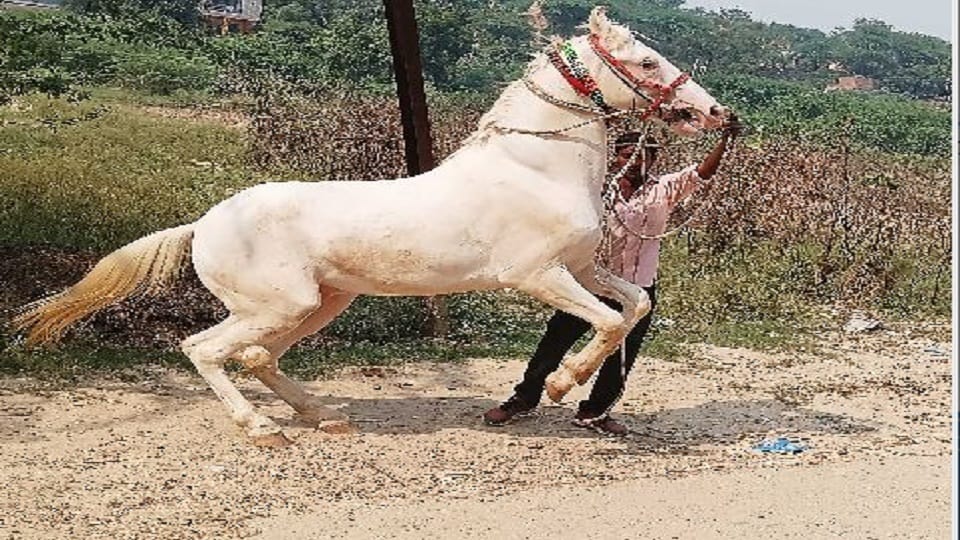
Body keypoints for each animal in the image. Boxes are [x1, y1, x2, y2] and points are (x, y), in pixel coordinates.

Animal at [15, 7, 728, 446]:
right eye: (646, 63)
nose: (714, 112)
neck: (536, 167)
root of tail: (204, 223)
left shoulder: (581, 267)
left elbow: (633, 306)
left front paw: (570, 385)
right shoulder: (536, 276)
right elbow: (606, 321)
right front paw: (560, 384)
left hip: (321, 302)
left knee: (255, 356)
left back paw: (327, 418)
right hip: (278, 304)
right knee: (206, 350)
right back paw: (265, 430)